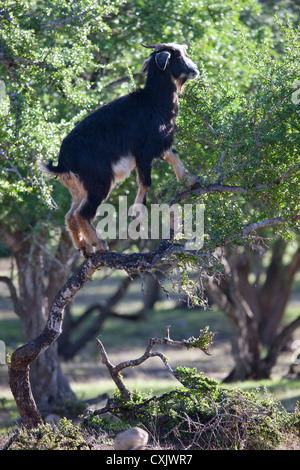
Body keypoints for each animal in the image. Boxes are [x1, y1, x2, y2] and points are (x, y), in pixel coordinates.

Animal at [41, 41, 198, 258]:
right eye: (178, 57)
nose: (195, 70)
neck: (154, 101)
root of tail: (62, 162)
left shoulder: (160, 145)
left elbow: (174, 156)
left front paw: (190, 180)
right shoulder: (144, 152)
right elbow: (146, 182)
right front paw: (137, 210)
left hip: (79, 188)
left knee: (70, 215)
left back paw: (85, 248)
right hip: (99, 182)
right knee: (82, 214)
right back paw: (100, 244)